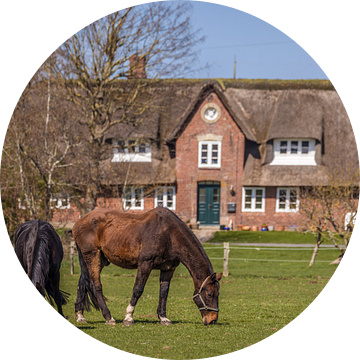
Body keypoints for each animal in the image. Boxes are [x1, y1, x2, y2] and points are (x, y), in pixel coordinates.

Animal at [72, 205, 222, 326]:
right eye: (209, 294)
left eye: (218, 294)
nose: (213, 319)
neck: (169, 234)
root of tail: (78, 222)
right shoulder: (145, 263)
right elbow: (138, 289)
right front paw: (128, 318)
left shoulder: (168, 268)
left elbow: (164, 292)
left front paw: (163, 318)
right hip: (93, 256)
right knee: (95, 285)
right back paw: (109, 317)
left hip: (97, 260)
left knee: (82, 283)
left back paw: (80, 316)